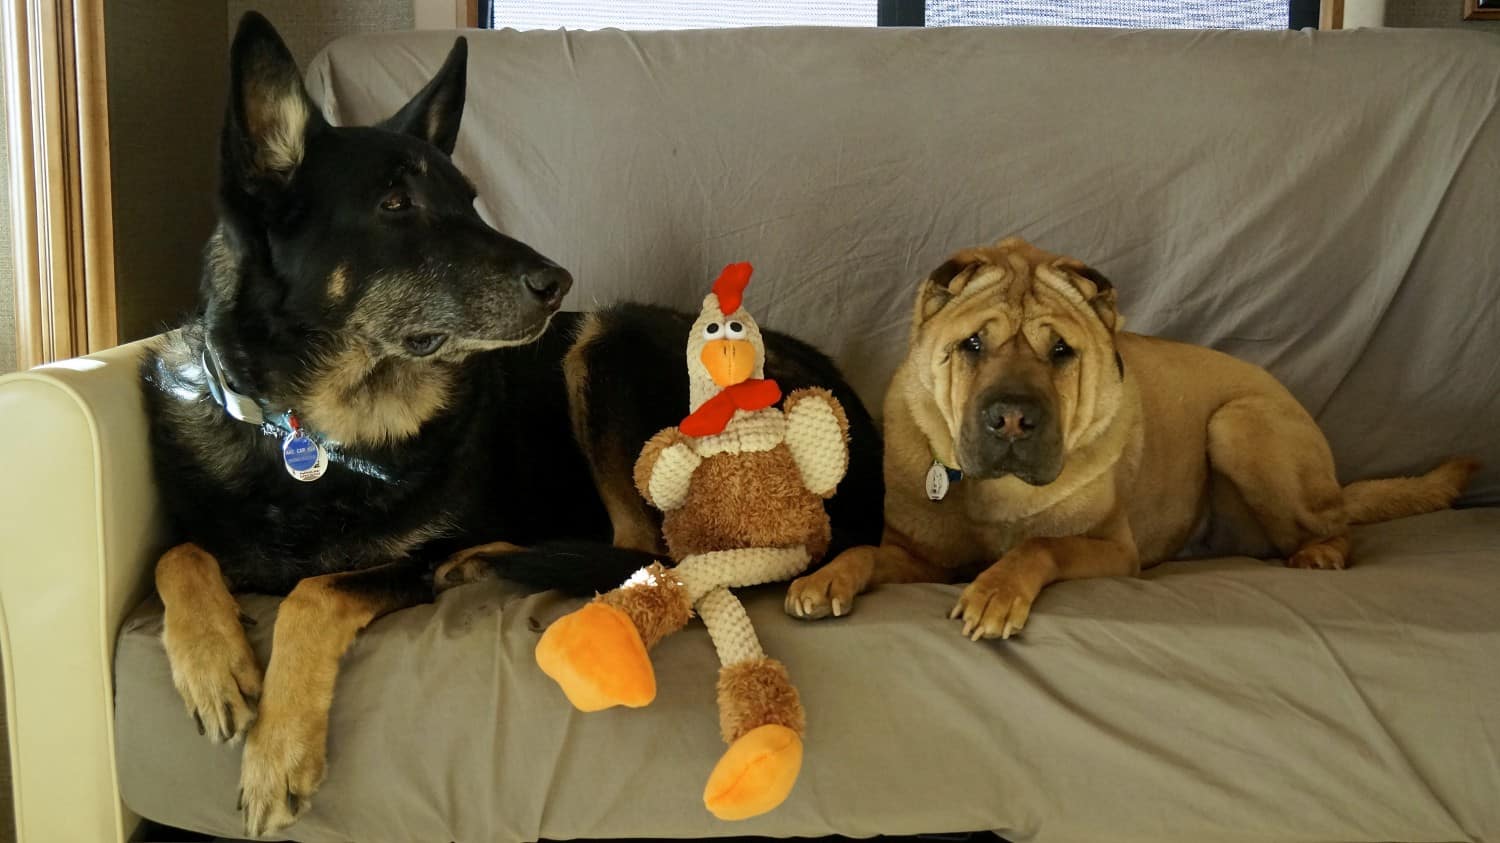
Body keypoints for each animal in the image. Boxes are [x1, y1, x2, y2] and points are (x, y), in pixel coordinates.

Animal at [141, 14, 876, 834]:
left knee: (643, 549)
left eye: (468, 200)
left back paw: (495, 561)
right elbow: (176, 554)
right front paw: (215, 667)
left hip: (606, 344)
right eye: (395, 204)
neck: (315, 425)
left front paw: (277, 754)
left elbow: (312, 593)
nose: (559, 283)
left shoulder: (388, 568)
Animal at [786, 234, 1476, 636]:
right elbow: (864, 551)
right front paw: (825, 578)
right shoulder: (918, 557)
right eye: (973, 345)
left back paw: (1321, 554)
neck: (997, 498)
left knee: (1337, 525)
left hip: (1238, 425)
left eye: (1060, 352)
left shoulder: (1114, 551)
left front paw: (996, 591)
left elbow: (1040, 547)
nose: (1012, 418)